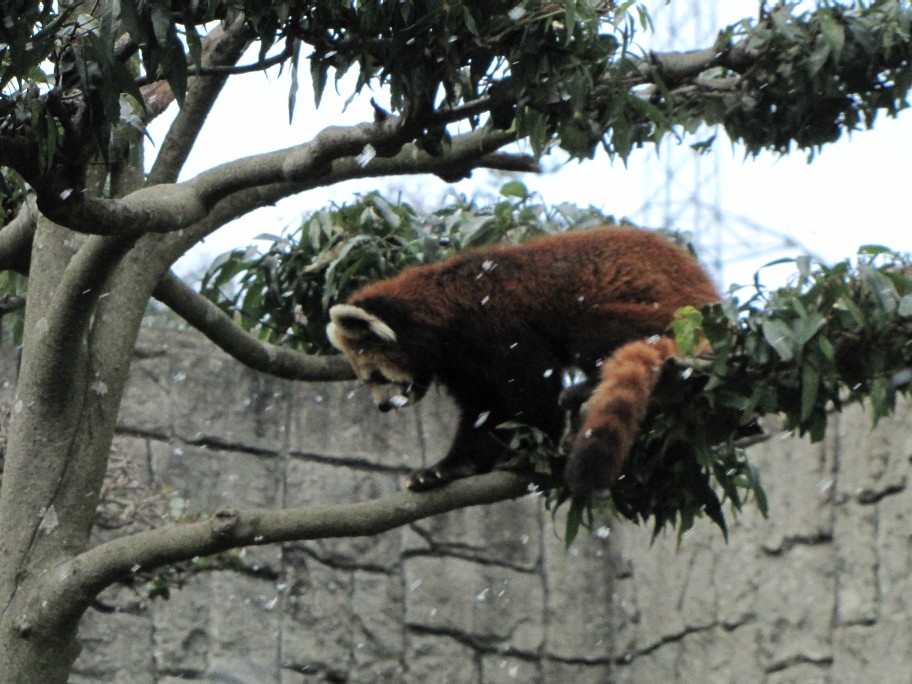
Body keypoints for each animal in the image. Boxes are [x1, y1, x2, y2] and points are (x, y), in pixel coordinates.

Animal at [324, 227, 716, 494]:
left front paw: (531, 450)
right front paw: (445, 469)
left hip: (654, 314)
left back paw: (585, 391)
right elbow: (484, 411)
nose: (383, 407)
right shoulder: (462, 363)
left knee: (592, 331)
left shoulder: (499, 326)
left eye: (375, 376)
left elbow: (532, 390)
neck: (441, 314)